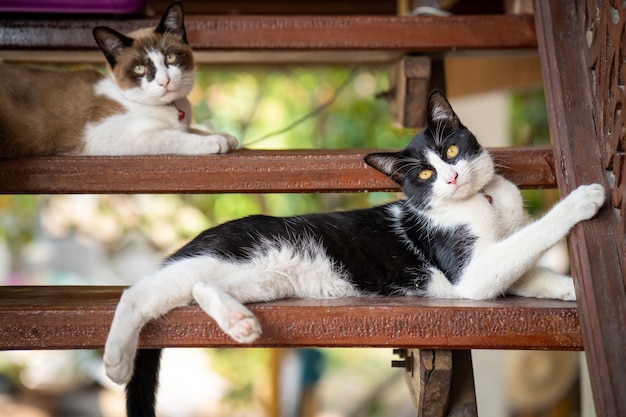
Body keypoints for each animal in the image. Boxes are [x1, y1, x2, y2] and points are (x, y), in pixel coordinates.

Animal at [0, 1, 236, 158]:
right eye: (140, 69)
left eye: (170, 57)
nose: (164, 82)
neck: (172, 109)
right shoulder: (109, 136)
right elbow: (172, 136)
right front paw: (214, 141)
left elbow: (190, 129)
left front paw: (226, 136)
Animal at [103, 90, 604, 412]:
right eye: (424, 175)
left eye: (452, 150)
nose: (451, 177)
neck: (484, 202)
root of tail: (204, 234)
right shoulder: (472, 274)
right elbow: (527, 240)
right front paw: (584, 199)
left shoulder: (498, 264)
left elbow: (529, 270)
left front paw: (570, 288)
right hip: (218, 257)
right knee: (139, 292)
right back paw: (116, 360)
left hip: (268, 278)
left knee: (204, 289)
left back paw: (240, 322)